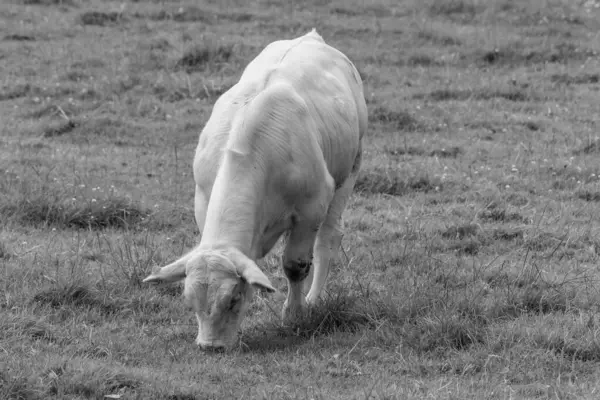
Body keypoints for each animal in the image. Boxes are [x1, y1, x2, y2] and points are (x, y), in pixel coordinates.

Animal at [143, 28, 368, 348]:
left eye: (234, 298)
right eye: (190, 302)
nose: (211, 347)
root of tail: (311, 37)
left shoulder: (310, 209)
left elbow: (295, 265)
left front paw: (294, 313)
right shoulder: (203, 202)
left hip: (351, 167)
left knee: (329, 237)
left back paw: (314, 298)